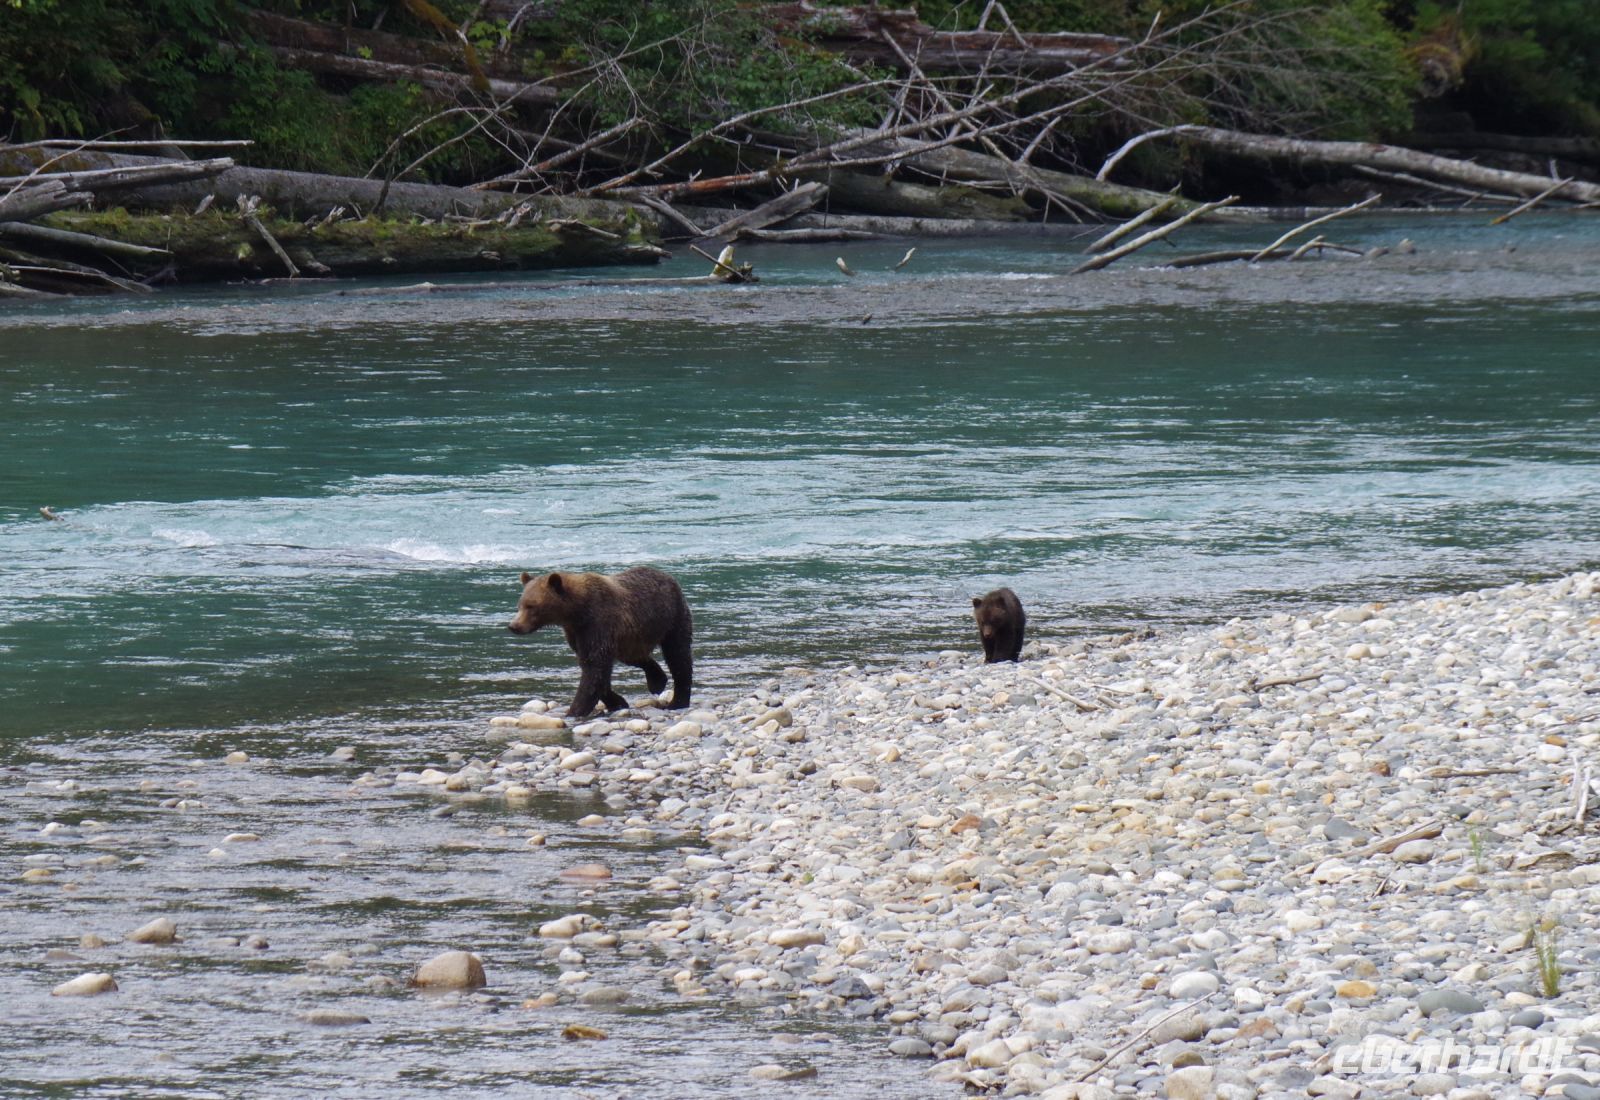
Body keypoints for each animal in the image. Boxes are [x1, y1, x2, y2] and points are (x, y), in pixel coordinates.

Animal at [507, 565, 693, 718]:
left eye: (531, 606)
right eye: (520, 605)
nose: (514, 626)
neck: (577, 612)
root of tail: (667, 575)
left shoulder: (598, 624)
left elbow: (594, 667)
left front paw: (573, 711)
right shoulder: (576, 634)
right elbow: (593, 667)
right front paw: (618, 702)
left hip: (672, 619)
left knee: (678, 655)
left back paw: (677, 701)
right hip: (631, 636)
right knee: (634, 656)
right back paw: (657, 680)